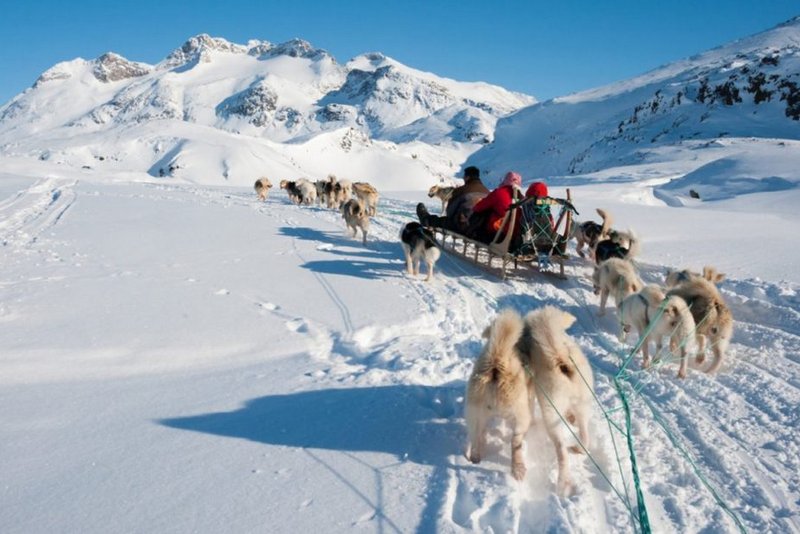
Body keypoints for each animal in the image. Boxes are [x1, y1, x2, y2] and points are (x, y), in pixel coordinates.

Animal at [462, 310, 532, 482]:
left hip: (476, 417)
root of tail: (496, 362)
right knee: (515, 443)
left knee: (476, 439)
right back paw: (518, 469)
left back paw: (475, 459)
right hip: (521, 418)